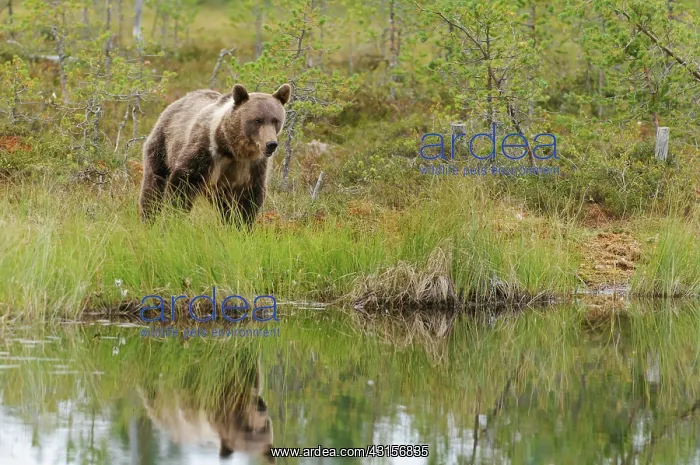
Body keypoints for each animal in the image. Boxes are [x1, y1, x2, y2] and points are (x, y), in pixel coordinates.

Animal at [138, 83, 291, 226]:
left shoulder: (253, 166)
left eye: (275, 120)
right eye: (257, 120)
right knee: (153, 186)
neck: (233, 150)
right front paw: (174, 219)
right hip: (162, 146)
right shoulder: (204, 153)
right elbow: (182, 183)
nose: (271, 144)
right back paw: (148, 219)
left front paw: (240, 226)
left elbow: (250, 198)